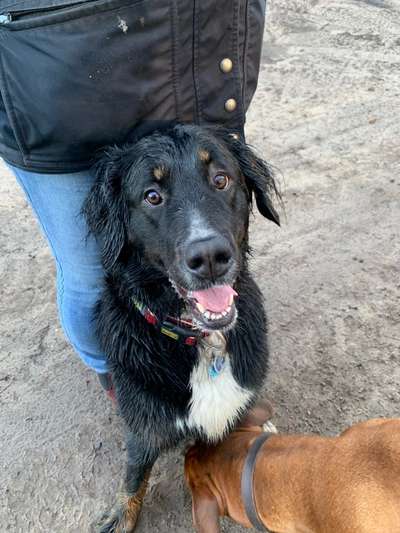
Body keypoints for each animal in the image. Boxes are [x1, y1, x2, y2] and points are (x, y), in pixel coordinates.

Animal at [83, 123, 280, 528]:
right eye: (152, 196)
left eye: (221, 179)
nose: (209, 257)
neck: (203, 340)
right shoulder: (144, 423)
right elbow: (134, 473)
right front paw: (122, 514)